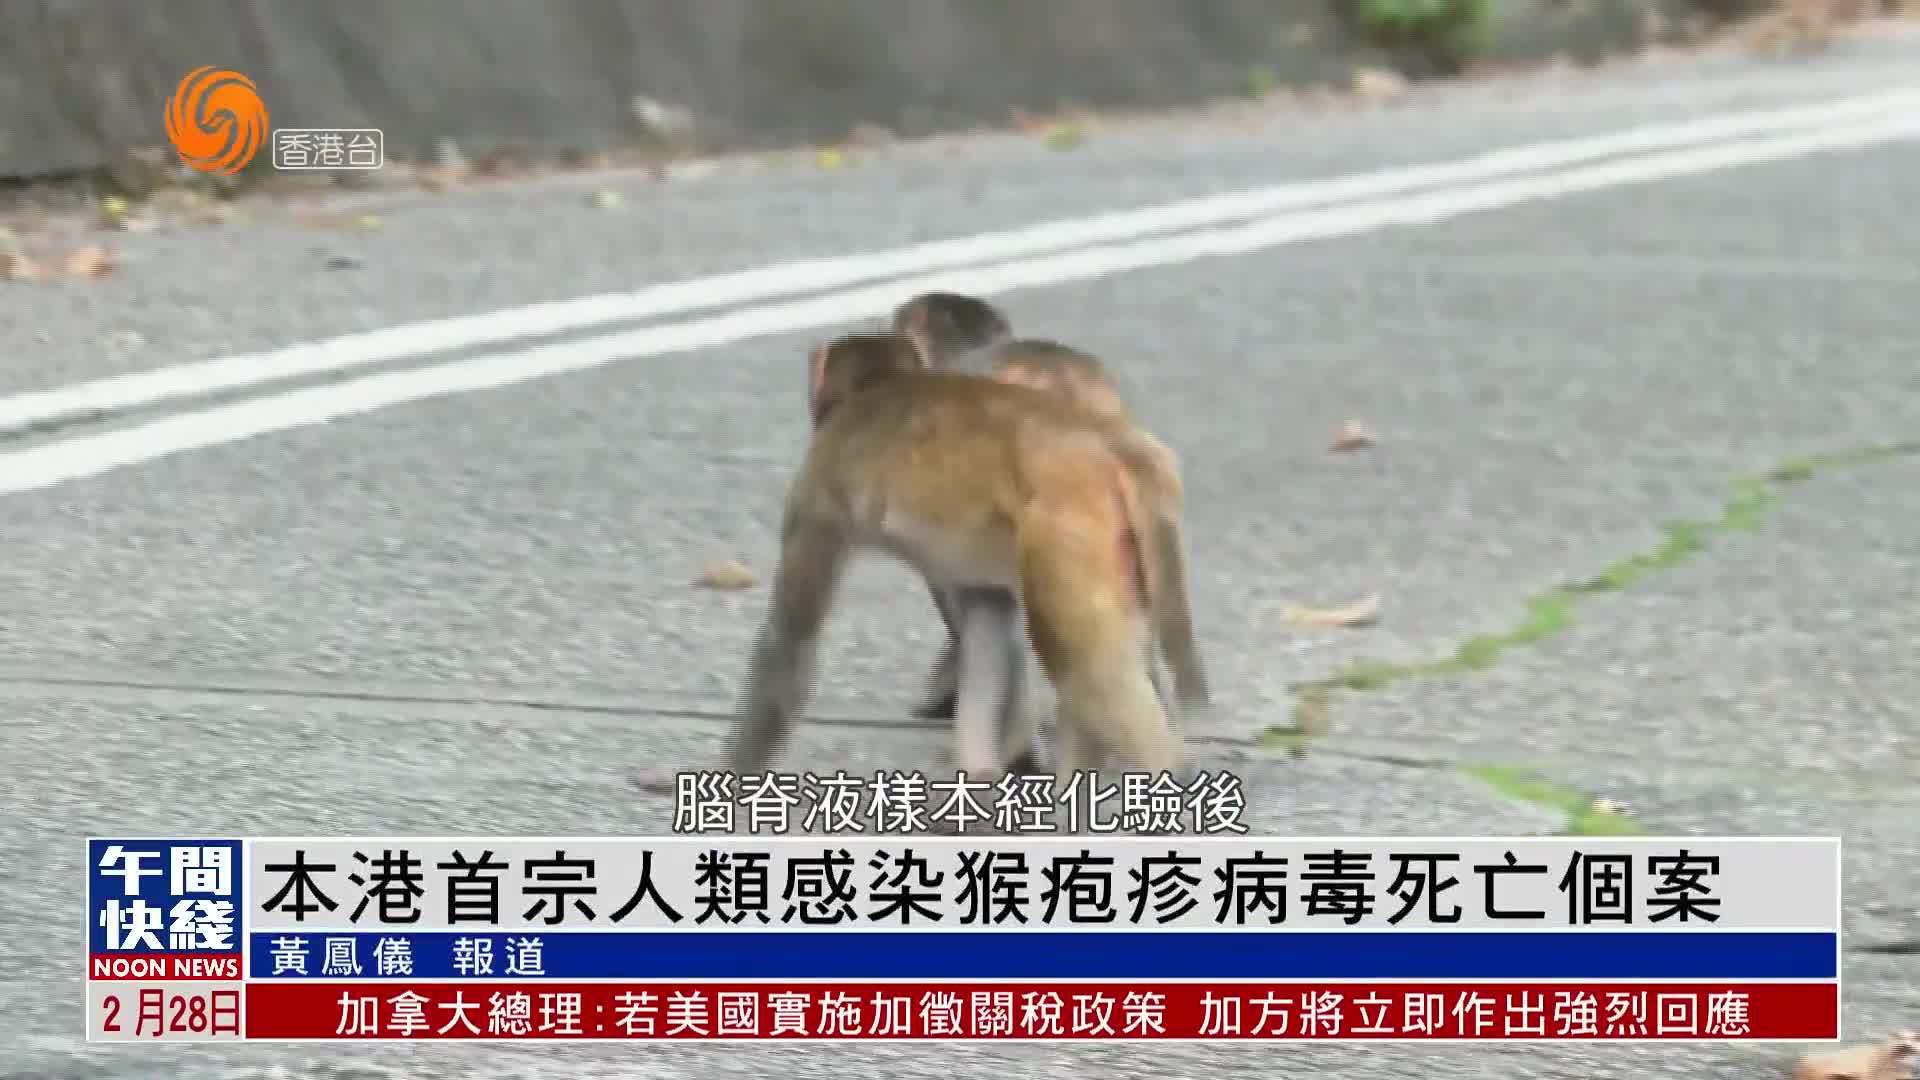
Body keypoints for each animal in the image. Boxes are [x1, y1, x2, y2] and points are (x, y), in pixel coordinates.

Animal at [721, 332, 1190, 787]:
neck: (879, 384)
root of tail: (1115, 445)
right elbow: (987, 622)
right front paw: (982, 770)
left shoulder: (819, 490)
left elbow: (790, 640)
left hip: (1066, 533)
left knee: (1086, 666)